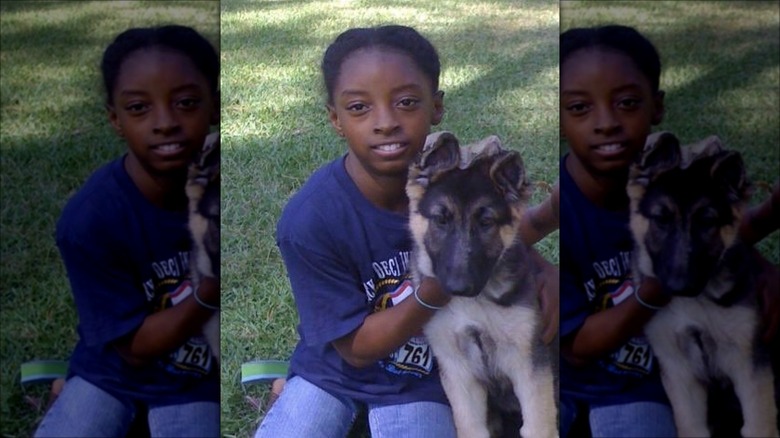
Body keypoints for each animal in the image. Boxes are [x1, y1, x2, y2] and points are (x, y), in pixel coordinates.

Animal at [408, 133, 556, 438]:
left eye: (486, 222)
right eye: (441, 219)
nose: (459, 288)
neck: (474, 304)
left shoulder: (530, 364)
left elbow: (538, 426)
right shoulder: (457, 370)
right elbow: (471, 427)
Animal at [632, 132, 776, 436]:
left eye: (707, 221)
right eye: (661, 219)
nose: (680, 287)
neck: (696, 302)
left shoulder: (750, 365)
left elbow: (759, 425)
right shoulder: (678, 370)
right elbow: (691, 427)